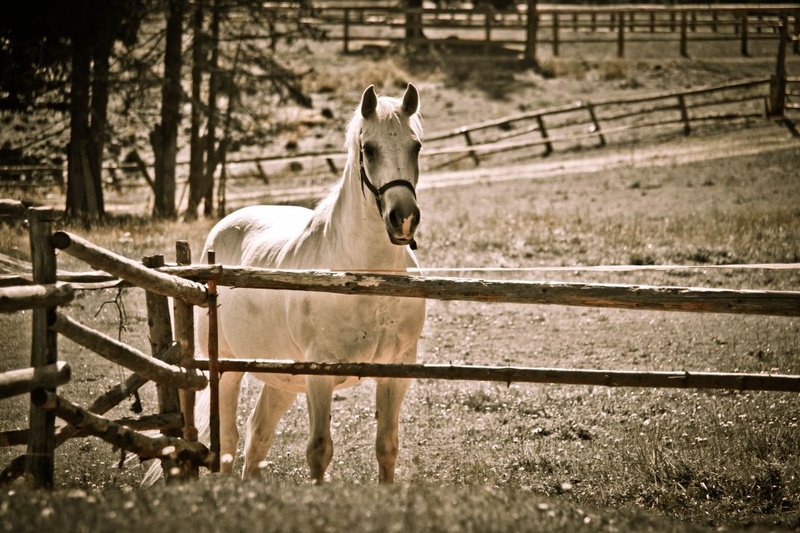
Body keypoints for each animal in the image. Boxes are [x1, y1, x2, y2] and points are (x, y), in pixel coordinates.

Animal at [196, 84, 426, 484]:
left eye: (416, 146)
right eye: (370, 149)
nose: (404, 219)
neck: (367, 281)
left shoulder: (396, 373)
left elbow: (386, 448)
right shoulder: (320, 375)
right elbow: (319, 451)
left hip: (283, 380)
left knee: (258, 435)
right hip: (226, 371)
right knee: (227, 441)